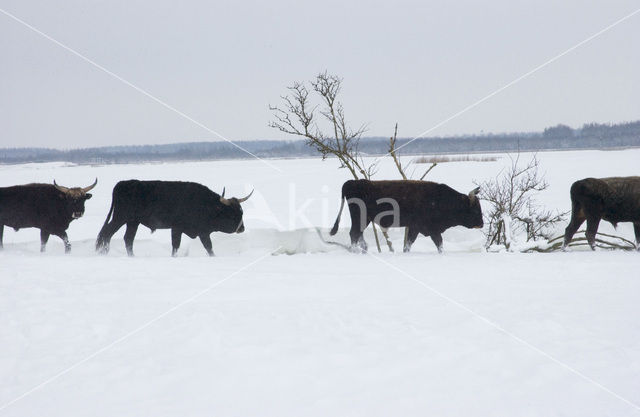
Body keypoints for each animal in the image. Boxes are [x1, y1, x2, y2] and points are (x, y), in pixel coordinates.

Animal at [96, 180, 254, 255]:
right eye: (232, 213)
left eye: (241, 212)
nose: (242, 228)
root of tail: (122, 183)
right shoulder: (178, 228)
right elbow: (176, 246)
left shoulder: (202, 232)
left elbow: (209, 248)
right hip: (120, 218)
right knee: (107, 233)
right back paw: (104, 252)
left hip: (132, 222)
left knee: (128, 239)